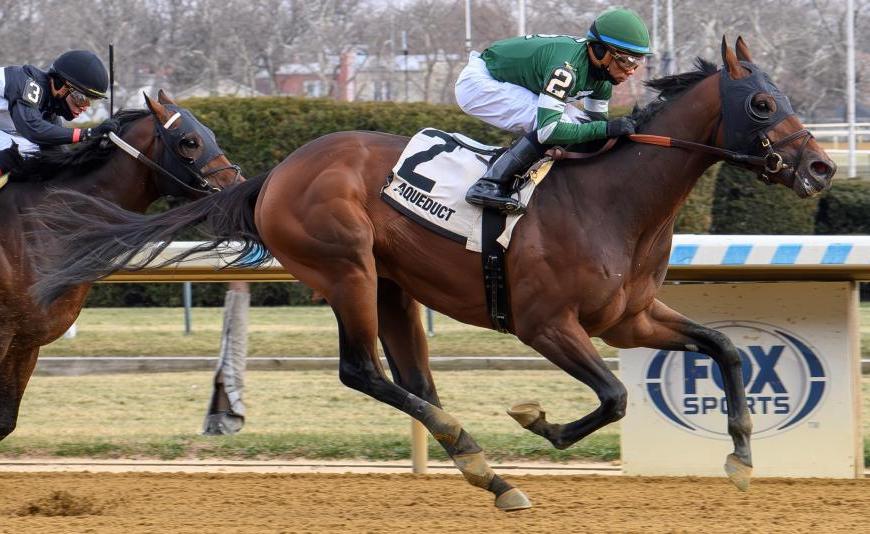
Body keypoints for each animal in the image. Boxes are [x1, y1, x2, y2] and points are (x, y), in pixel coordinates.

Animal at [0, 91, 243, 443]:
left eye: (211, 134)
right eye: (190, 142)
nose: (240, 187)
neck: (38, 227)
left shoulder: (25, 340)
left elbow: (5, 422)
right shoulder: (5, 334)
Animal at [26, 38, 835, 510]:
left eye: (790, 96)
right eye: (763, 101)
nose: (823, 167)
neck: (614, 198)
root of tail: (273, 175)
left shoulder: (629, 318)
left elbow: (724, 349)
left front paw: (741, 457)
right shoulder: (546, 324)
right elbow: (611, 397)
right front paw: (536, 419)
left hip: (393, 285)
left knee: (413, 378)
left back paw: (482, 469)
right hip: (346, 268)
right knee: (363, 371)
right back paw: (484, 463)